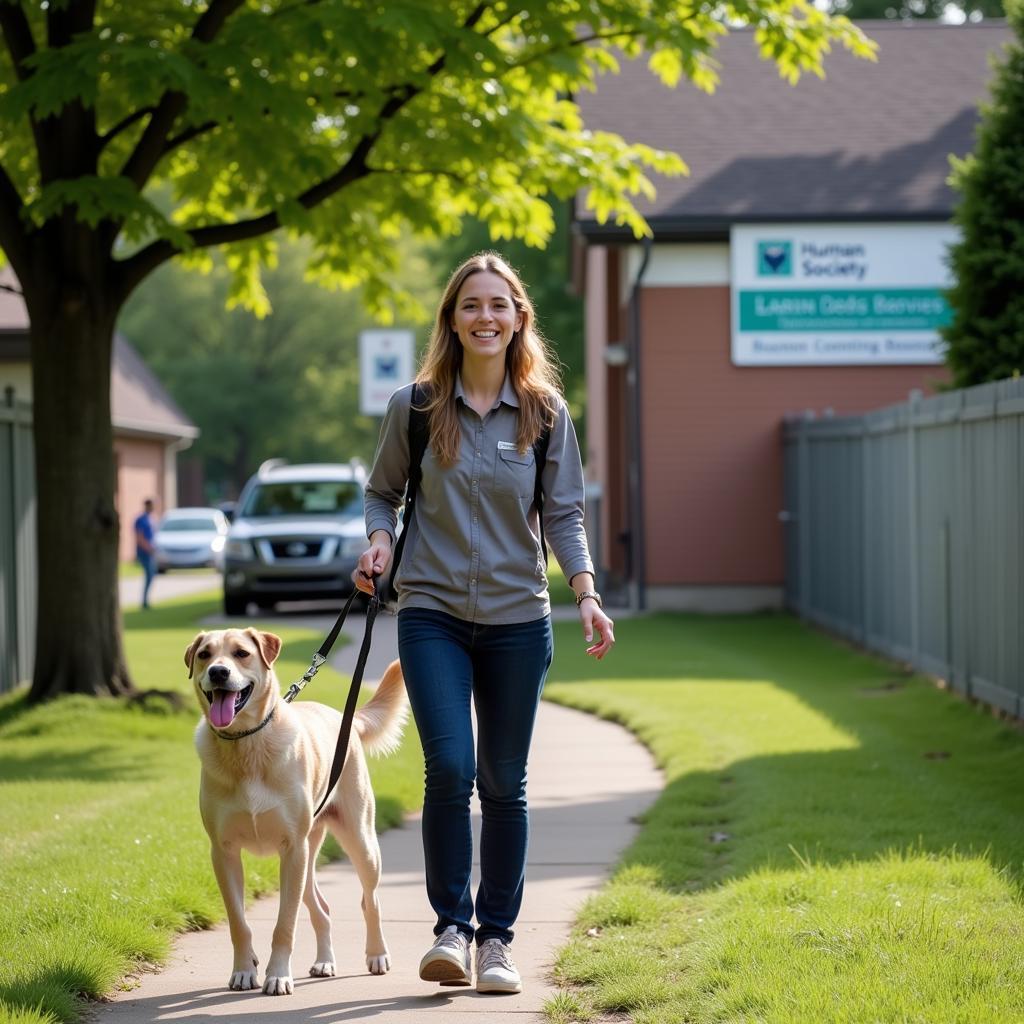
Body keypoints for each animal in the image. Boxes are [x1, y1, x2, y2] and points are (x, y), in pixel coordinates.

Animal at [184, 626, 407, 995]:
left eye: (241, 653)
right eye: (205, 655)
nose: (218, 672)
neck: (246, 744)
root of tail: (344, 718)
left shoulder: (292, 849)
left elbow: (284, 925)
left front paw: (277, 976)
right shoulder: (224, 852)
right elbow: (238, 922)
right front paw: (244, 970)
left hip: (357, 843)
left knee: (370, 900)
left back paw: (377, 955)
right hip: (307, 858)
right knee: (323, 908)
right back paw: (324, 962)